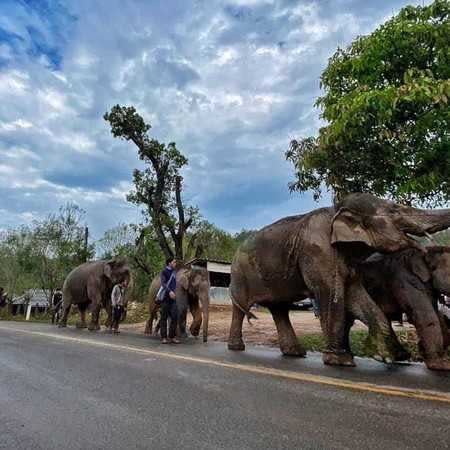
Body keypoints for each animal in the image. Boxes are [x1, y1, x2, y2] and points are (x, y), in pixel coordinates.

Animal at [229, 192, 450, 366]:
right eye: (395, 210)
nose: (425, 247)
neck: (335, 210)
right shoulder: (319, 252)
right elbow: (330, 294)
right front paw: (340, 360)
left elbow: (355, 295)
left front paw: (390, 357)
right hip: (240, 275)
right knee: (242, 306)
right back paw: (237, 348)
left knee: (280, 309)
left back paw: (295, 353)